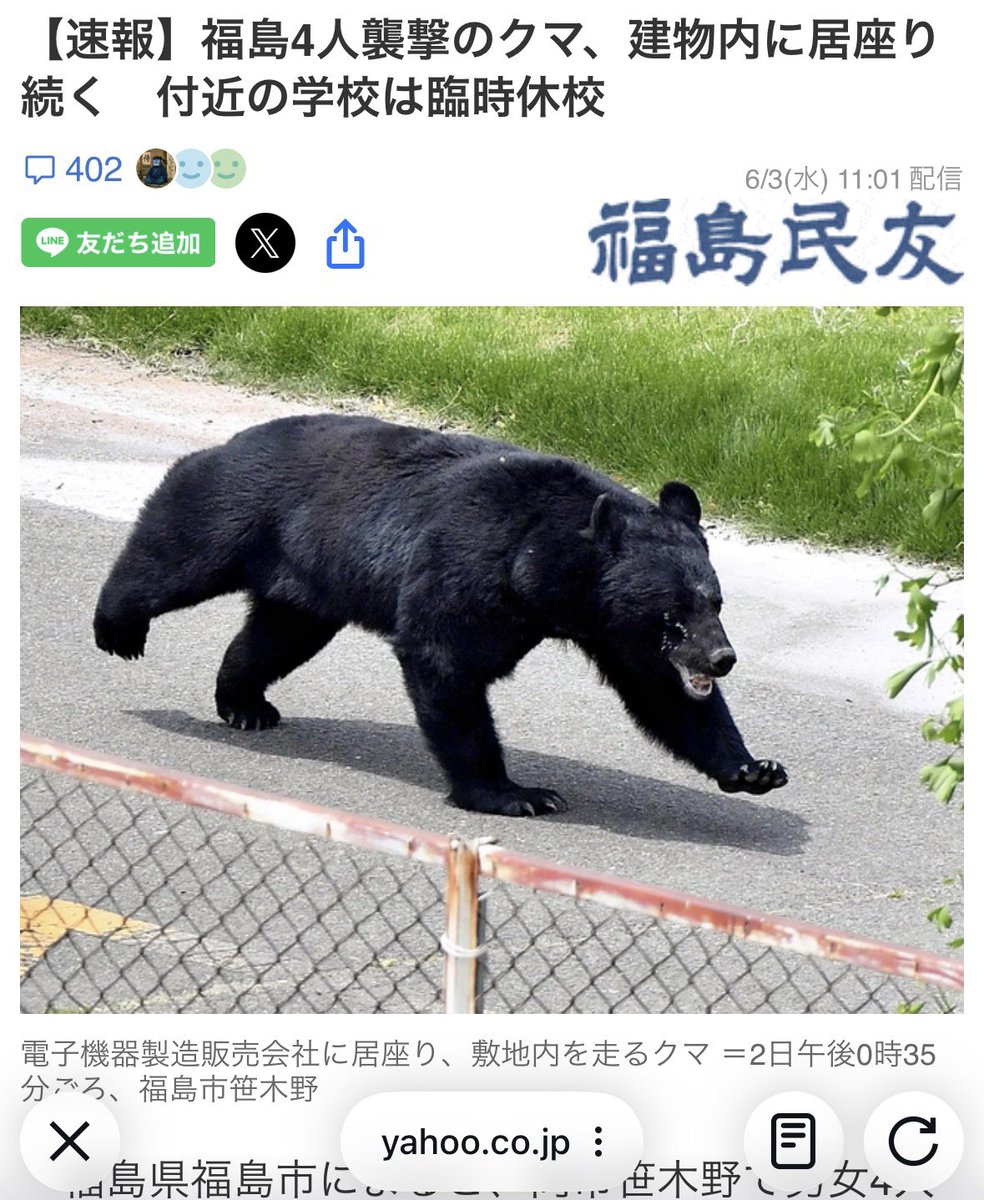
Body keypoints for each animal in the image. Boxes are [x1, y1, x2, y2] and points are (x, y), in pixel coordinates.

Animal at [94, 413, 787, 817]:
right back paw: (118, 628)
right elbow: (446, 662)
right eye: (674, 611)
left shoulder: (608, 624)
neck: (543, 565)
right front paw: (516, 793)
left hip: (310, 582)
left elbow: (661, 692)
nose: (721, 658)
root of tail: (236, 436)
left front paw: (755, 769)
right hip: (245, 509)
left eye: (714, 601)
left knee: (275, 635)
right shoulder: (472, 562)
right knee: (180, 549)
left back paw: (244, 702)